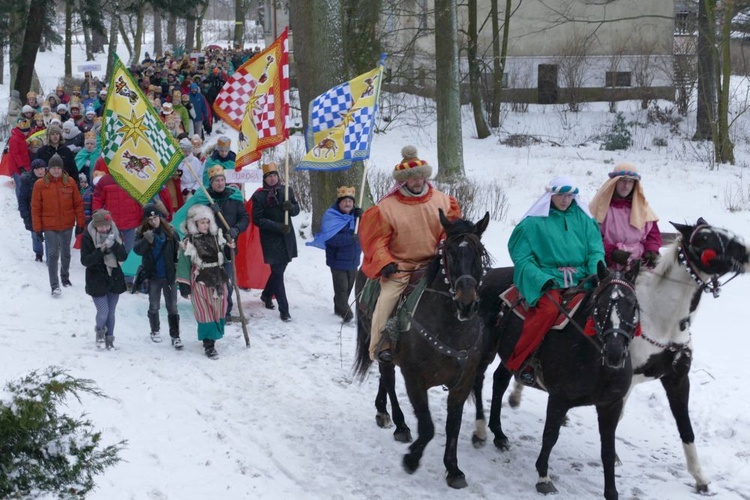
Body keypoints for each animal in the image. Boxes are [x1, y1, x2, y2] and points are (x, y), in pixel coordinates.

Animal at [354, 210, 494, 488]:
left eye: (480, 252)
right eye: (449, 252)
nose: (467, 303)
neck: (450, 328)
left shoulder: (462, 384)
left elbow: (453, 427)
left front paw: (453, 469)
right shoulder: (415, 379)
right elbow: (428, 427)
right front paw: (411, 459)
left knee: (384, 377)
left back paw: (382, 411)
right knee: (388, 379)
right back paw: (398, 424)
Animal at [476, 262, 640, 500]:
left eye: (633, 305)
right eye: (601, 305)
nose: (615, 352)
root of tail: (488, 274)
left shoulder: (611, 405)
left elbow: (608, 451)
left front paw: (611, 492)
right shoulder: (559, 399)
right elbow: (550, 436)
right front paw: (543, 477)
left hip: (510, 357)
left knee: (499, 381)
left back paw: (499, 434)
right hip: (484, 350)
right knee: (476, 381)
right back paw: (479, 431)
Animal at [500, 219, 750, 492]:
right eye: (704, 238)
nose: (745, 251)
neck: (662, 321)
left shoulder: (677, 379)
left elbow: (686, 428)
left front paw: (700, 477)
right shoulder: (626, 380)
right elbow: (616, 417)